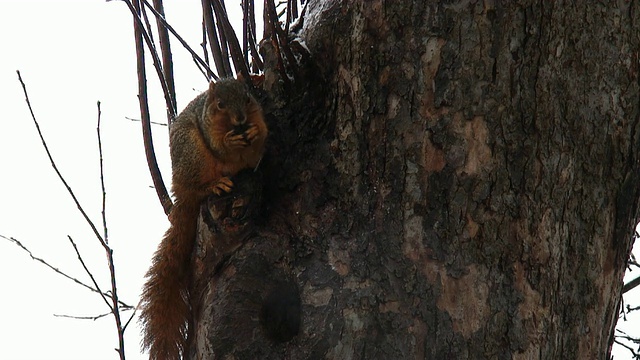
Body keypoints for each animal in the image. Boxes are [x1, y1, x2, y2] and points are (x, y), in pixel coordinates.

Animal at [139, 79, 268, 360]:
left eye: (248, 98)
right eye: (220, 104)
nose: (240, 119)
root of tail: (181, 190)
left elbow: (260, 145)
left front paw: (255, 133)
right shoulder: (210, 133)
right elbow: (219, 145)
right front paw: (229, 140)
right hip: (194, 153)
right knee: (199, 187)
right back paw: (214, 185)